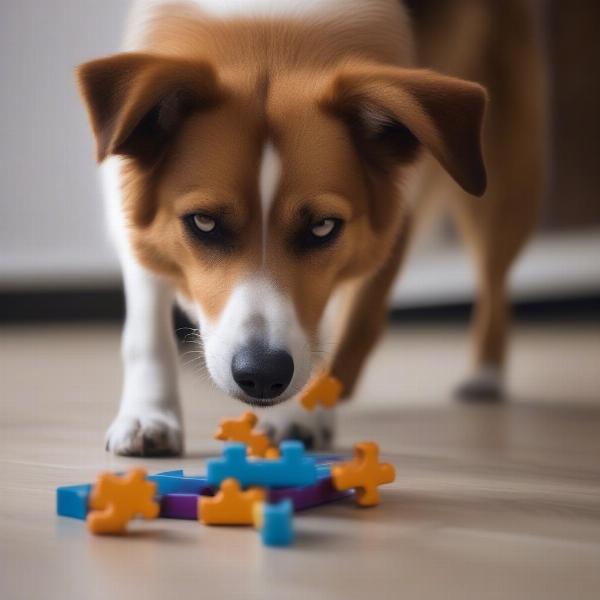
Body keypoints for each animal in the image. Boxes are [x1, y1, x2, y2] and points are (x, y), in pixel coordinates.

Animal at [75, 0, 544, 454]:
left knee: (493, 280)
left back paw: (485, 374)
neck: (268, 32)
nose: (262, 375)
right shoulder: (138, 220)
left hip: (496, 183)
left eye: (322, 227)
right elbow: (146, 332)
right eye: (204, 222)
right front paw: (149, 416)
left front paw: (301, 411)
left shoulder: (388, 224)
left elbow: (353, 325)